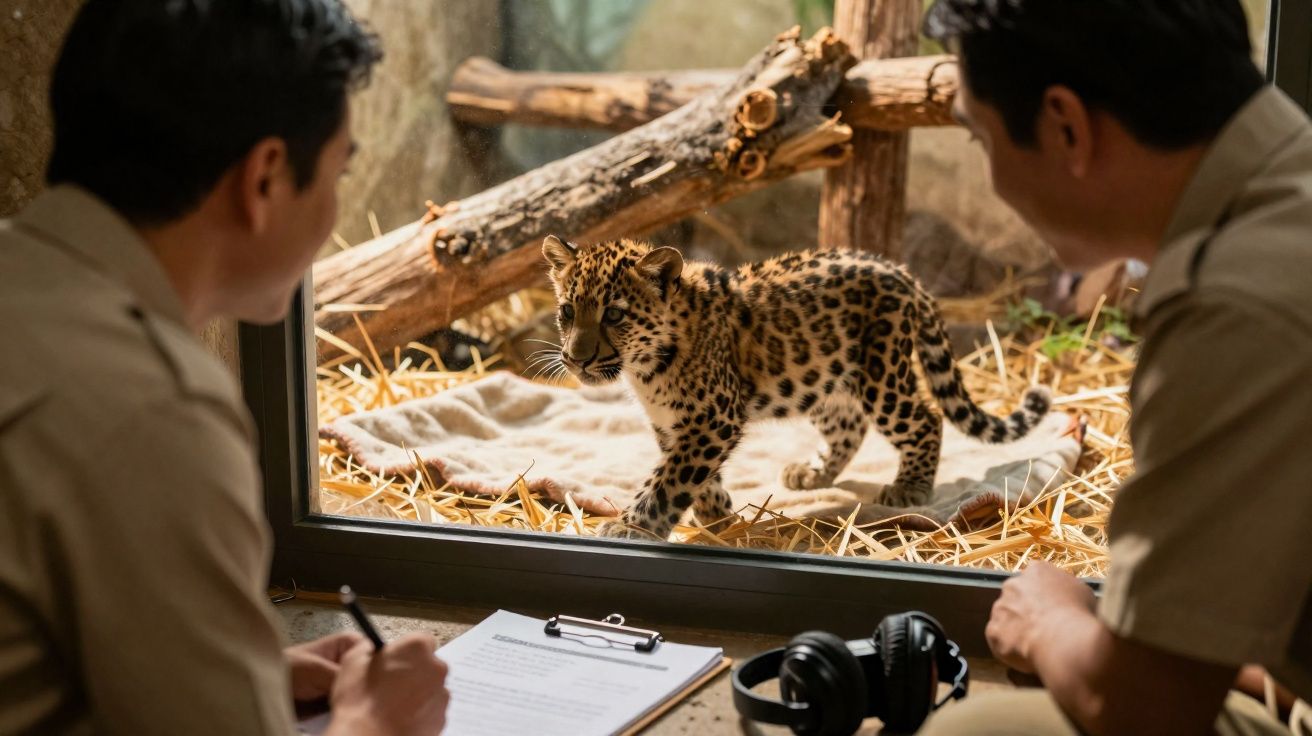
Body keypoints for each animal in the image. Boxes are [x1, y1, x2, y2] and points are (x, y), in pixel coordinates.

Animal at [540, 235, 1051, 540]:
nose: (576, 358)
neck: (644, 368)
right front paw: (719, 516)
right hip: (824, 381)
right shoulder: (675, 424)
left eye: (614, 314)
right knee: (849, 426)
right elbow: (693, 475)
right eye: (567, 311)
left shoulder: (714, 418)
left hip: (882, 374)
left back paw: (910, 488)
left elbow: (669, 480)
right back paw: (812, 474)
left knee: (925, 418)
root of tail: (901, 271)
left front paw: (632, 527)